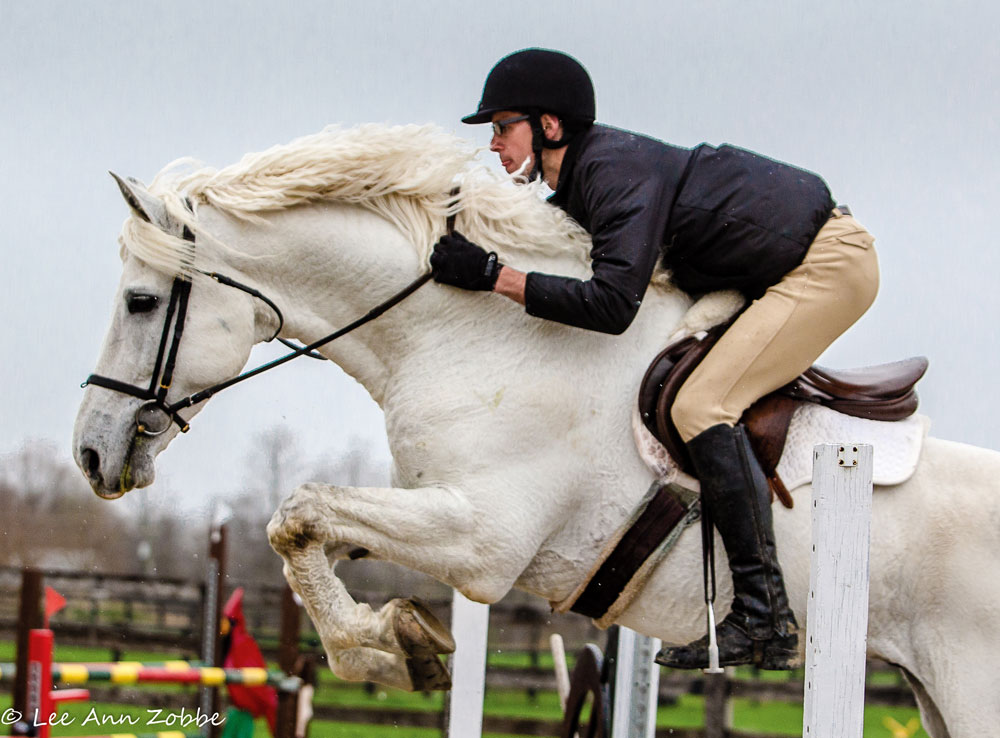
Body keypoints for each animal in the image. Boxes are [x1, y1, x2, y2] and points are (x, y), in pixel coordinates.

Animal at [76, 123, 1000, 732]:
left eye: (141, 302)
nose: (92, 451)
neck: (479, 336)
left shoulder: (484, 540)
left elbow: (297, 513)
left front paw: (384, 651)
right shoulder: (431, 505)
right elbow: (301, 528)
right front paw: (395, 643)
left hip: (968, 686)